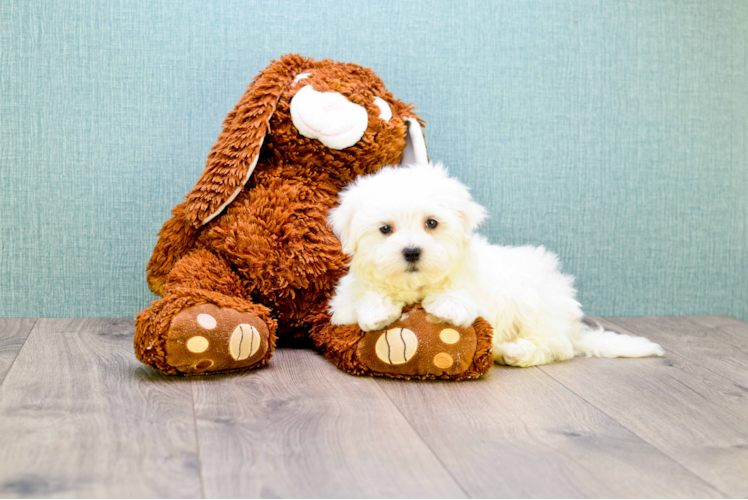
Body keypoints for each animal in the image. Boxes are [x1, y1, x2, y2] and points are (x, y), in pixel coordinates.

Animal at [328, 162, 660, 366]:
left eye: (431, 223)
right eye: (385, 229)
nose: (411, 251)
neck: (417, 286)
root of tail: (572, 326)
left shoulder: (479, 290)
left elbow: (461, 295)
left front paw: (448, 306)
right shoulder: (342, 303)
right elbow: (360, 299)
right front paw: (377, 310)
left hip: (536, 305)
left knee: (556, 346)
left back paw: (514, 351)